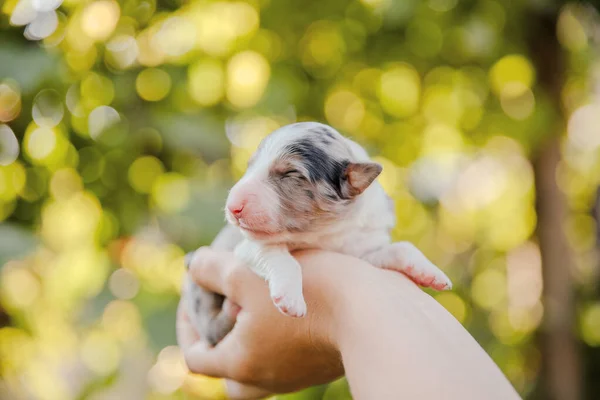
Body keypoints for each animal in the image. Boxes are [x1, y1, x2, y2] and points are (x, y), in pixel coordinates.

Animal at [185, 121, 452, 344]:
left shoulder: (360, 250)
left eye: (291, 173)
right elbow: (278, 255)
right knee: (210, 329)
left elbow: (401, 247)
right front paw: (290, 298)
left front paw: (431, 273)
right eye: (250, 166)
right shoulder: (246, 244)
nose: (233, 207)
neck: (323, 233)